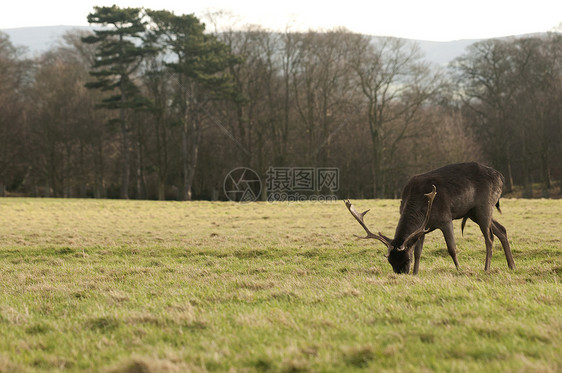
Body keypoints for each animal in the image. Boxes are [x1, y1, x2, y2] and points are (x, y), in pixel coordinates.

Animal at [342, 162, 512, 274]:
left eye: (406, 259)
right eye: (390, 261)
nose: (401, 274)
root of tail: (501, 177)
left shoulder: (445, 218)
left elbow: (452, 248)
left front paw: (459, 269)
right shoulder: (422, 228)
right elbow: (419, 251)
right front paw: (416, 273)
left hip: (484, 206)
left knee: (489, 238)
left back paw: (486, 268)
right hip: (473, 212)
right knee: (502, 230)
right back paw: (512, 265)